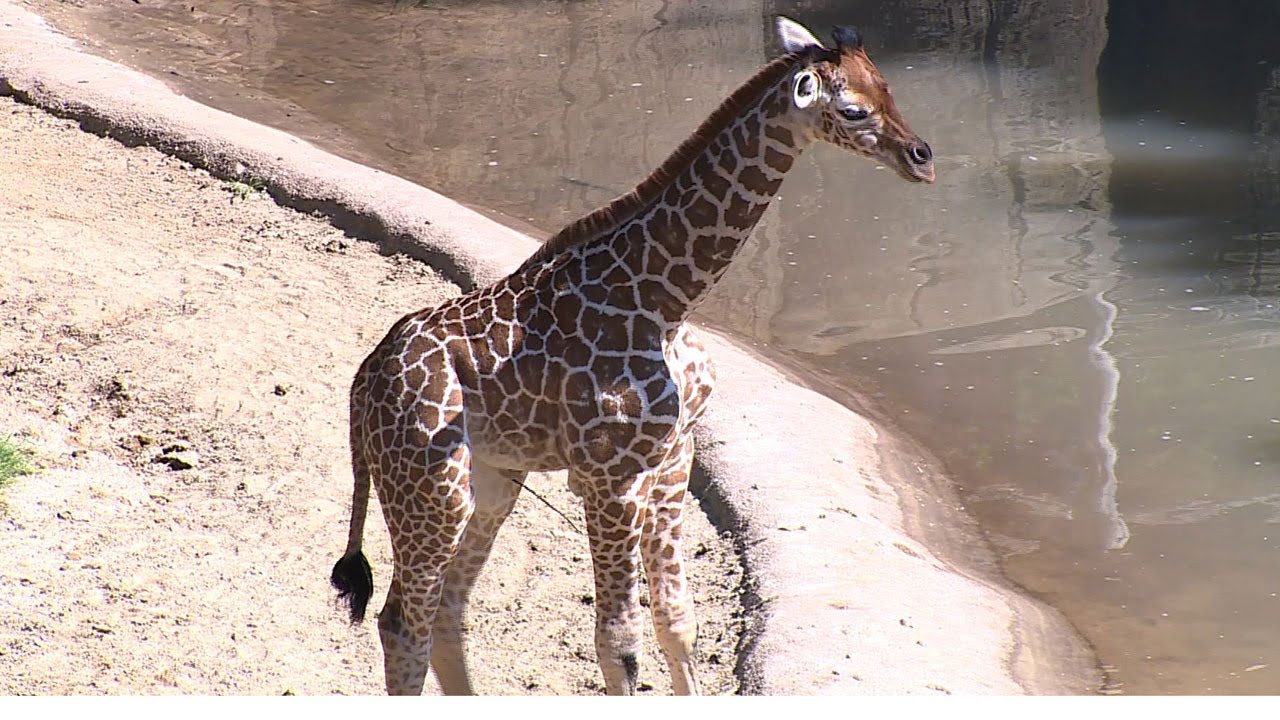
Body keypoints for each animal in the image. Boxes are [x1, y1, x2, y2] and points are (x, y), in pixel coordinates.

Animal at [331, 16, 935, 696]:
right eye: (854, 109)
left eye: (887, 88)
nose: (921, 157)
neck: (665, 299)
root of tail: (362, 382)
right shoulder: (609, 477)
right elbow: (618, 643)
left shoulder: (673, 457)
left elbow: (678, 621)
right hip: (429, 487)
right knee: (401, 624)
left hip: (490, 479)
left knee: (447, 614)